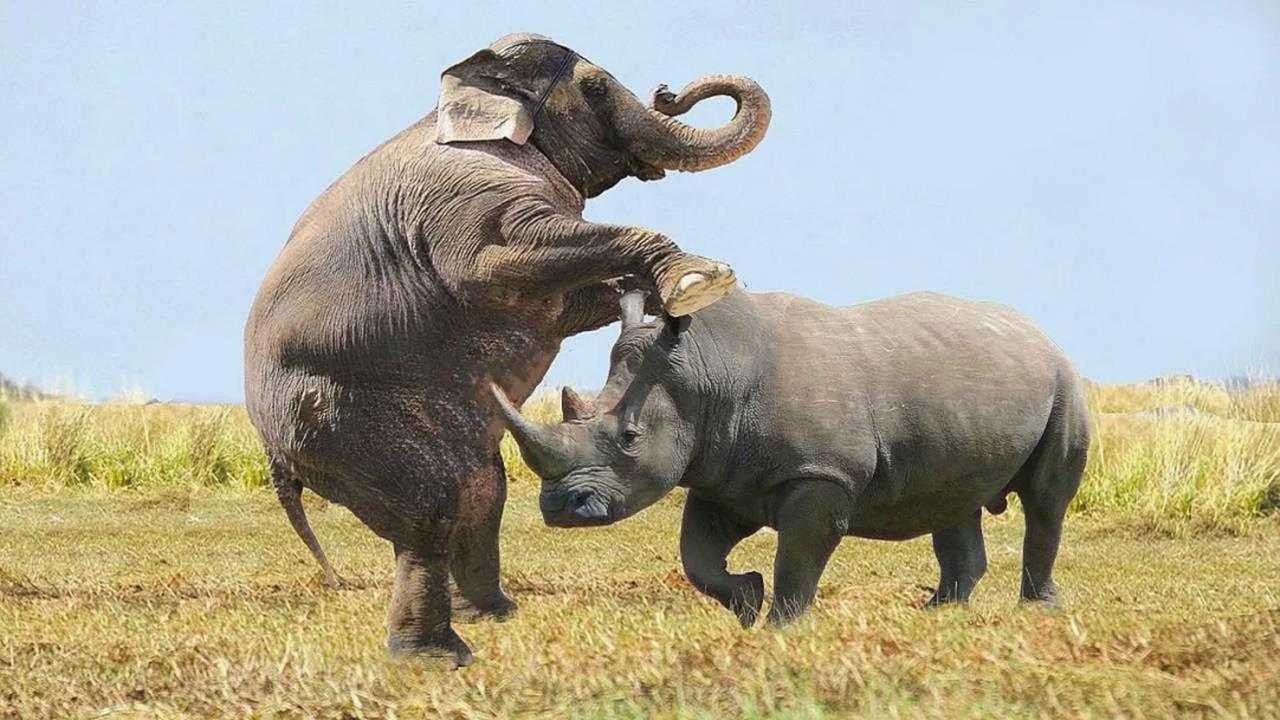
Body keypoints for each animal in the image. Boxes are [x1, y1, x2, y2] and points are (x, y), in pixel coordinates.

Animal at [243, 33, 771, 666]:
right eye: (596, 88)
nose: (670, 90)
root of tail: (274, 458)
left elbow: (565, 305)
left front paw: (660, 299)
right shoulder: (463, 198)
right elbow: (497, 263)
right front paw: (698, 280)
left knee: (480, 489)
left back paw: (493, 615)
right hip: (333, 419)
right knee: (430, 510)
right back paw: (437, 656)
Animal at [493, 289, 1091, 626]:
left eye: (631, 438)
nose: (559, 508)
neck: (709, 372)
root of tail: (1040, 332)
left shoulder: (820, 474)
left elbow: (798, 557)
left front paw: (783, 627)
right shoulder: (722, 473)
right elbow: (697, 556)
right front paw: (746, 601)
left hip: (1066, 382)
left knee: (1045, 502)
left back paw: (1037, 612)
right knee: (953, 501)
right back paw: (938, 615)